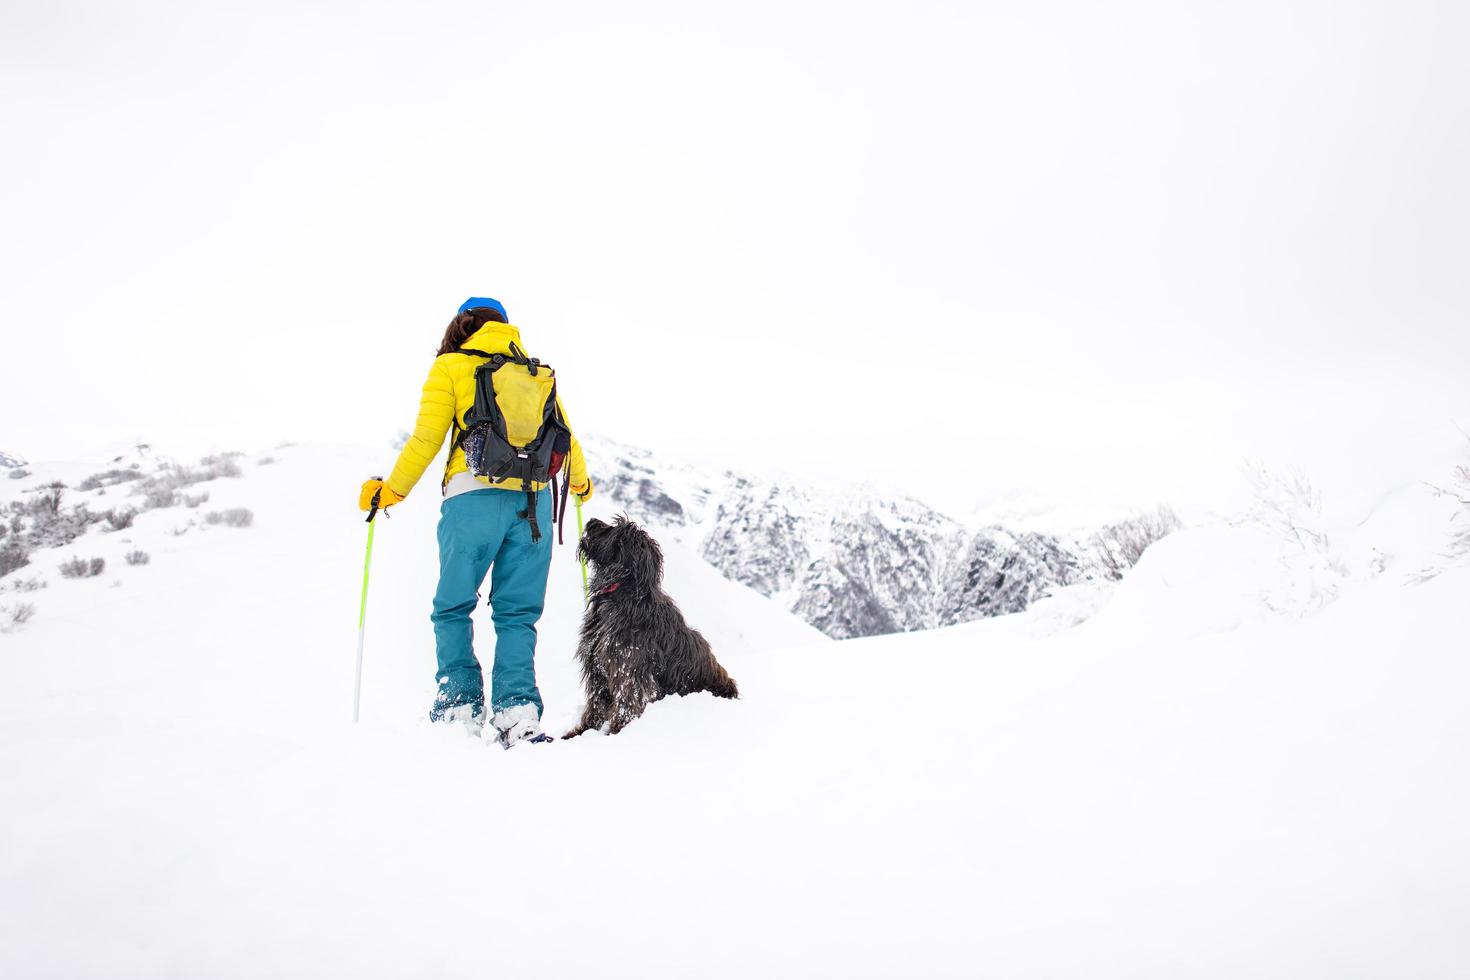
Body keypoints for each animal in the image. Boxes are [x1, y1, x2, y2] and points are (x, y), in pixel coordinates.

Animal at [564, 514, 740, 734]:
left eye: (613, 529)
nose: (591, 520)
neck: (624, 594)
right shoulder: (597, 668)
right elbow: (596, 704)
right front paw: (581, 732)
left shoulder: (628, 671)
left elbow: (626, 706)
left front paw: (615, 733)